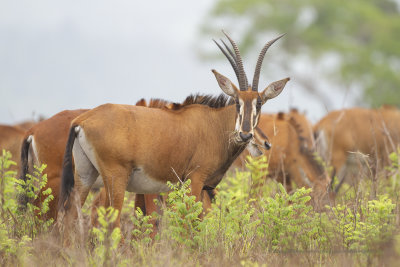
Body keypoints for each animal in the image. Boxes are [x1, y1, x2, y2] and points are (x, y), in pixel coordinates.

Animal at [58, 30, 290, 230]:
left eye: (259, 103)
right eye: (237, 102)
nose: (246, 135)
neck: (215, 123)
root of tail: (82, 119)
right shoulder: (195, 179)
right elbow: (191, 222)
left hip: (85, 174)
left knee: (70, 217)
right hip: (116, 178)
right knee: (111, 222)